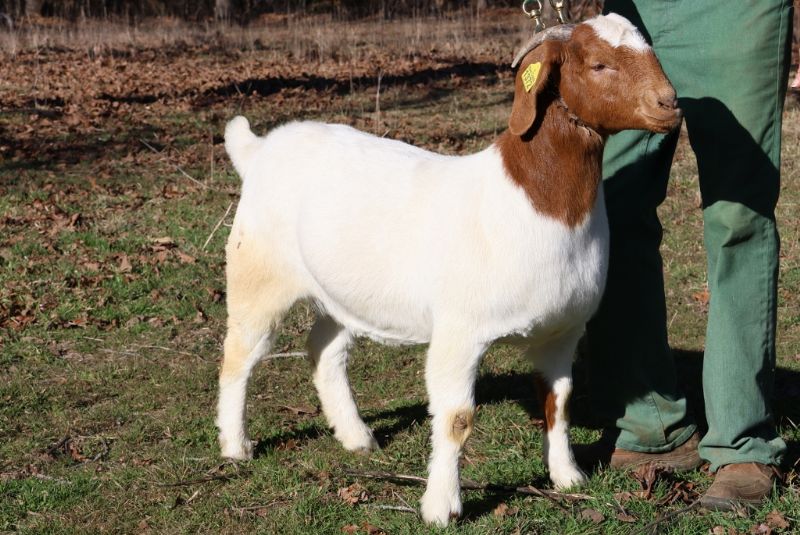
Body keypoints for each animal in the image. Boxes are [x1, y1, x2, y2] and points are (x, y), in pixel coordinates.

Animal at [217, 13, 681, 526]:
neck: (531, 202)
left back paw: (357, 437)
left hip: (341, 291)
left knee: (325, 349)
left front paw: (568, 477)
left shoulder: (562, 332)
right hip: (258, 272)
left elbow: (557, 404)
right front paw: (441, 507)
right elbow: (458, 418)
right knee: (240, 353)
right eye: (598, 64)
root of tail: (258, 148)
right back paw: (235, 445)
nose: (669, 104)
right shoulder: (460, 333)